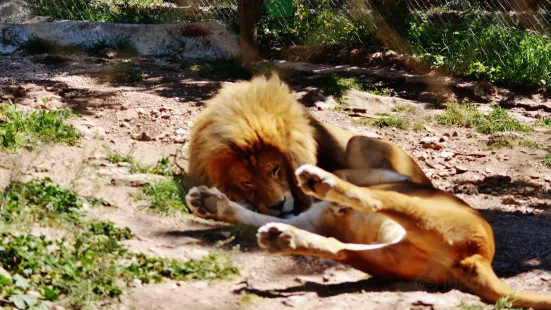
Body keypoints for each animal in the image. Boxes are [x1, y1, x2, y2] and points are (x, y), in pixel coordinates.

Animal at [185, 74, 551, 308]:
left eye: (274, 170)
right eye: (247, 183)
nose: (279, 205)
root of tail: (477, 258)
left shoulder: (383, 172)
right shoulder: (309, 219)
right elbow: (252, 214)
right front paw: (210, 203)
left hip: (409, 198)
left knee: (371, 198)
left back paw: (321, 183)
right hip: (380, 256)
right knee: (339, 247)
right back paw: (282, 238)